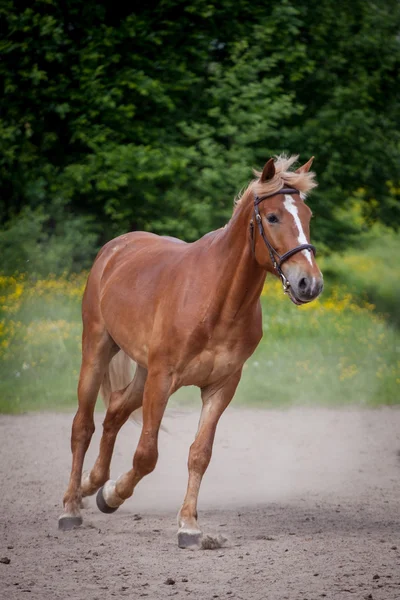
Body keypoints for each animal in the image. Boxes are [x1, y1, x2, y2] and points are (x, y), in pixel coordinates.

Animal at [58, 156, 322, 548]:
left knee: (115, 411)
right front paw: (115, 495)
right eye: (273, 217)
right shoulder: (162, 379)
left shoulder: (221, 386)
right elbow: (146, 455)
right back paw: (71, 507)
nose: (310, 283)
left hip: (142, 373)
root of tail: (115, 248)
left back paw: (95, 484)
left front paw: (188, 526)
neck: (217, 300)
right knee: (83, 426)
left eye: (307, 215)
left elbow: (200, 454)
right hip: (97, 349)